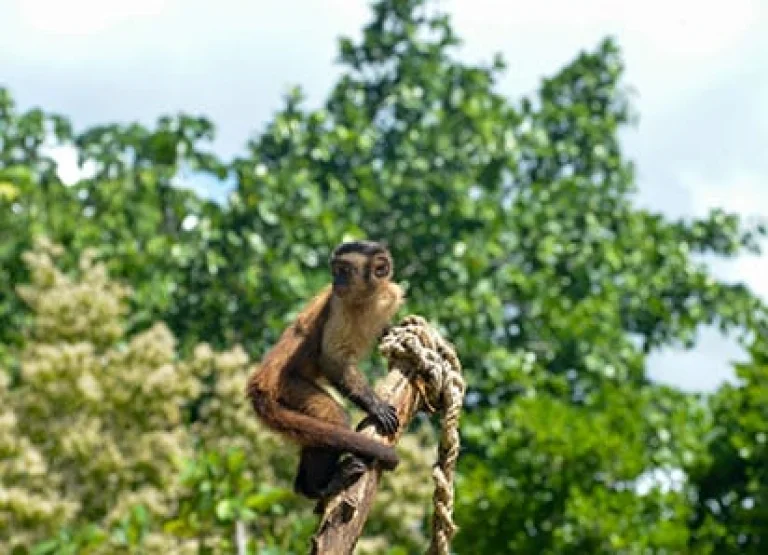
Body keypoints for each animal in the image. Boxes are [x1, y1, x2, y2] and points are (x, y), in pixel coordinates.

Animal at [246, 240, 404, 503]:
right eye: (336, 270)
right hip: (288, 385)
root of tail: (260, 380)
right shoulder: (339, 305)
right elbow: (332, 361)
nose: (336, 281)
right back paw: (317, 488)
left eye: (344, 271)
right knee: (333, 418)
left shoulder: (389, 295)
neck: (368, 299)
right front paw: (375, 406)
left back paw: (306, 487)